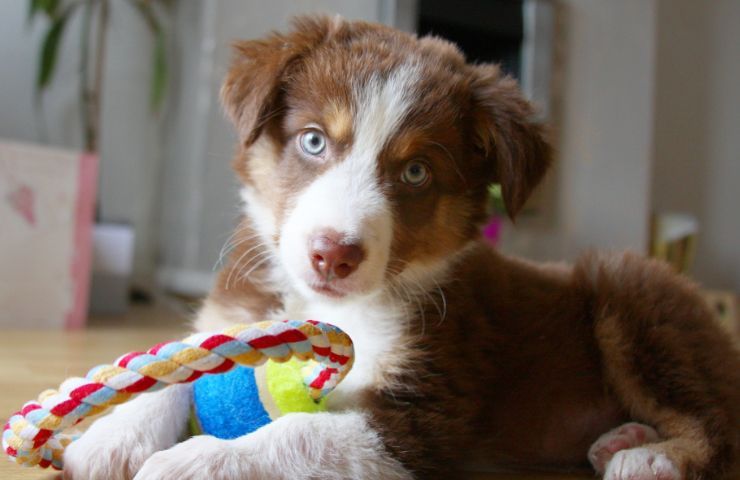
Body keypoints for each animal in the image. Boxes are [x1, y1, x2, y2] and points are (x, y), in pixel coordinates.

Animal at [63, 15, 740, 480]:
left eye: (415, 173)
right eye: (313, 141)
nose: (333, 254)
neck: (335, 305)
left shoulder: (422, 416)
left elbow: (300, 435)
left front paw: (196, 461)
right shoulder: (234, 317)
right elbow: (176, 369)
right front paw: (111, 437)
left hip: (633, 293)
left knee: (716, 424)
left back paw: (652, 458)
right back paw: (620, 439)